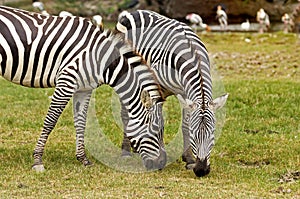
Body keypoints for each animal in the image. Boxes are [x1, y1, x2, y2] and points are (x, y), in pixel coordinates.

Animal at [0, 5, 166, 171]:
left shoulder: (84, 88)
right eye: (157, 130)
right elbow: (50, 121)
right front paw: (37, 160)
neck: (101, 59)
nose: (161, 164)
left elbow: (81, 122)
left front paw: (83, 159)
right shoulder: (66, 80)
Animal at [115, 9, 227, 177]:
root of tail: (134, 11)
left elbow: (184, 125)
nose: (201, 170)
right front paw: (159, 159)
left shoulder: (186, 94)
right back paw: (126, 151)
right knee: (126, 113)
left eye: (213, 132)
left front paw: (188, 159)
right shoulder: (157, 90)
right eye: (194, 133)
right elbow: (158, 121)